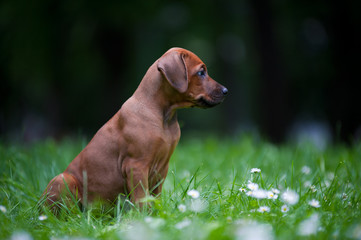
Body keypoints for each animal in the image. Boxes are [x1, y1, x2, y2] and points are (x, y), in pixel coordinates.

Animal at [41, 47, 228, 212]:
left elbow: (155, 196)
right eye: (201, 73)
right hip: (62, 179)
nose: (226, 90)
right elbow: (141, 197)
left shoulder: (162, 168)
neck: (163, 117)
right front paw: (143, 218)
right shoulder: (136, 166)